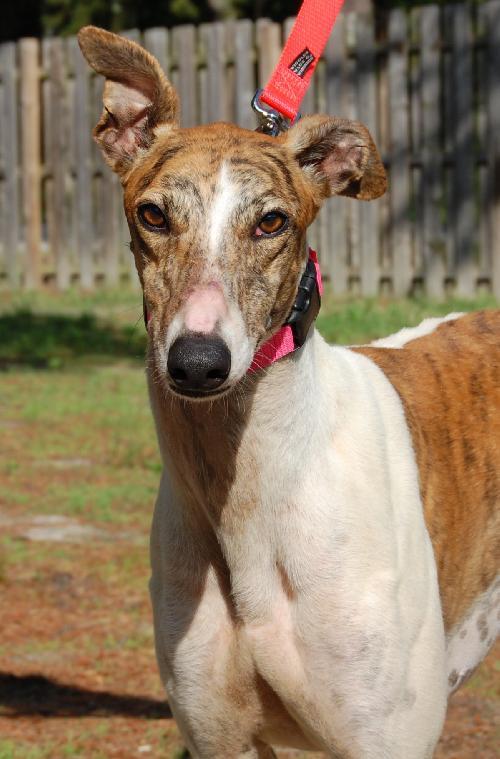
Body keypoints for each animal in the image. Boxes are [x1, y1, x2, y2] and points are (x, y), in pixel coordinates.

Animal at [79, 26, 500, 759]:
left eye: (271, 223)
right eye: (153, 214)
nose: (197, 363)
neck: (248, 499)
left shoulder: (385, 737)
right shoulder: (219, 734)